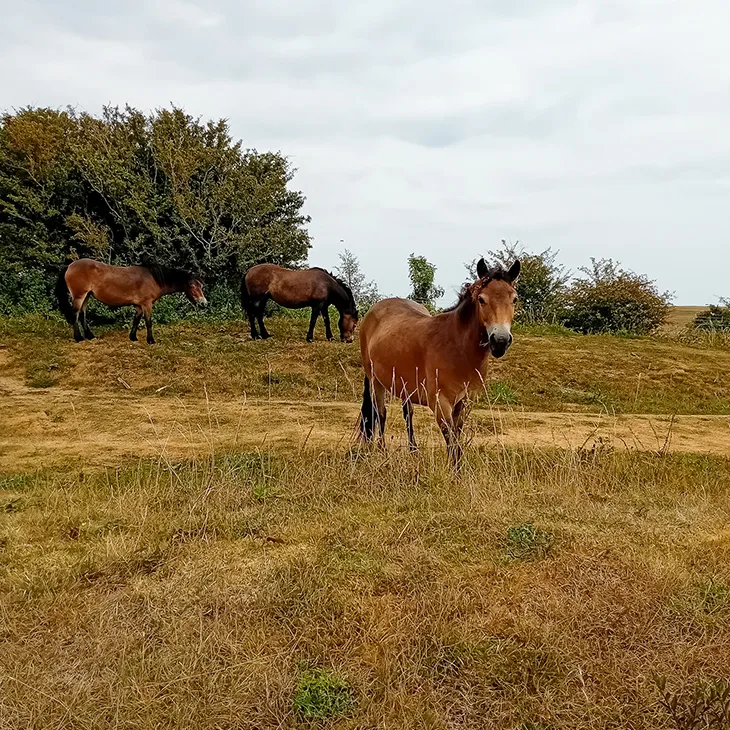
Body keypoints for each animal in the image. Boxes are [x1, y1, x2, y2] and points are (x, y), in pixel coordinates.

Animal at [56, 258, 207, 343]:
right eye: (192, 285)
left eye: (201, 285)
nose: (203, 303)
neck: (153, 279)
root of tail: (69, 266)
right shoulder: (147, 304)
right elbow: (148, 322)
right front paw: (151, 340)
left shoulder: (139, 305)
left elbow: (136, 320)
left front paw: (133, 337)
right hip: (79, 296)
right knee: (75, 314)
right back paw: (79, 338)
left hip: (87, 296)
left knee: (83, 314)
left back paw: (90, 335)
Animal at [358, 257, 520, 470]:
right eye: (481, 299)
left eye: (514, 299)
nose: (500, 341)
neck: (457, 346)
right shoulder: (440, 403)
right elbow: (451, 441)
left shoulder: (463, 402)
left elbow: (457, 437)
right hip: (375, 380)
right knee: (380, 414)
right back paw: (381, 453)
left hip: (403, 385)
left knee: (408, 413)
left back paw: (413, 452)